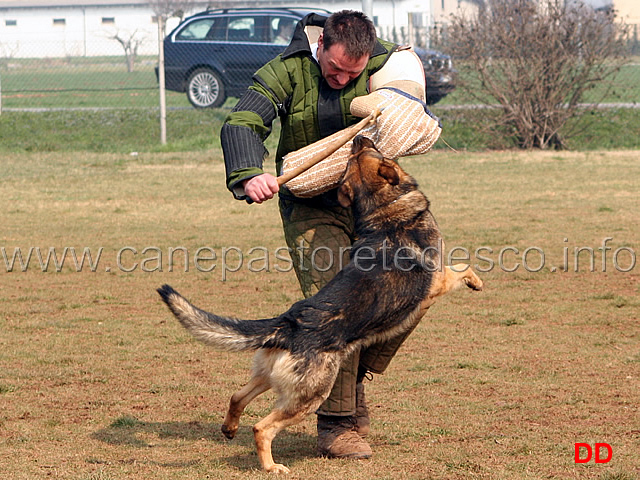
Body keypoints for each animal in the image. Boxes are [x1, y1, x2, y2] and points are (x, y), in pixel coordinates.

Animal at [158, 134, 482, 472]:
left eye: (354, 158)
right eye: (370, 151)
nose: (358, 137)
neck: (384, 211)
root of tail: (289, 322)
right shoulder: (436, 283)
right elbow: (463, 266)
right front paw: (476, 281)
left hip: (271, 378)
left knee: (237, 395)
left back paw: (230, 428)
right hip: (311, 392)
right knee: (262, 427)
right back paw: (272, 466)